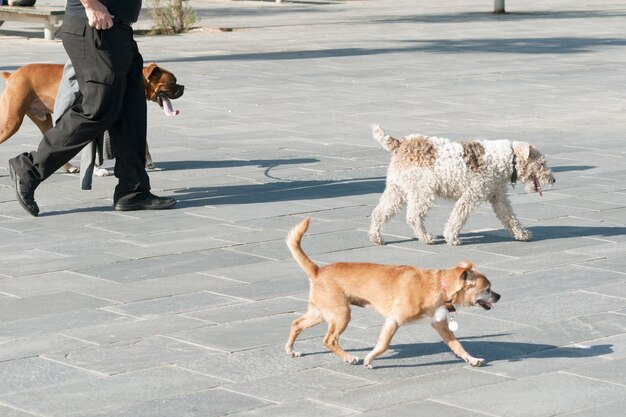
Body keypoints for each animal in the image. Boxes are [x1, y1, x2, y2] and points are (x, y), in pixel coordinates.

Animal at [1, 60, 183, 171]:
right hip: (12, 122)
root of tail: (12, 75)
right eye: (172, 82)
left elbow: (141, 140)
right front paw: (97, 170)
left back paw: (69, 167)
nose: (182, 87)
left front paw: (148, 162)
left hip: (43, 120)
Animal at [286, 218, 500, 368]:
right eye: (487, 289)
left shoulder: (441, 326)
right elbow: (383, 344)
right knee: (329, 339)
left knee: (296, 324)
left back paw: (291, 350)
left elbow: (458, 346)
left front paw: (472, 359)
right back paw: (349, 357)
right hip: (341, 314)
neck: (439, 286)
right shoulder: (393, 320)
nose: (499, 296)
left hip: (322, 312)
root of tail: (317, 270)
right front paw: (370, 358)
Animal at [368, 125, 552, 245]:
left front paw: (522, 234)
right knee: (413, 217)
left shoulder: (498, 197)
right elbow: (458, 217)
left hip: (396, 190)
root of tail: (401, 143)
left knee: (379, 213)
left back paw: (377, 238)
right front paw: (451, 237)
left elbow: (510, 218)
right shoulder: (471, 195)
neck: (507, 159)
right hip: (423, 192)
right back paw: (427, 238)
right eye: (542, 163)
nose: (553, 179)